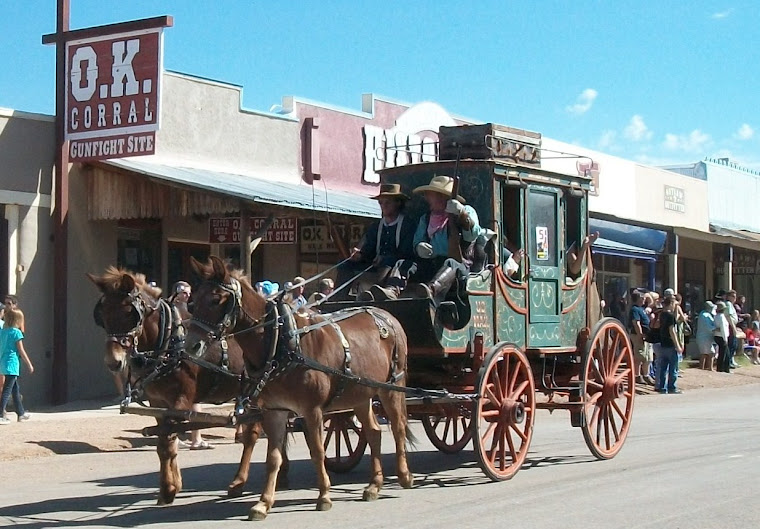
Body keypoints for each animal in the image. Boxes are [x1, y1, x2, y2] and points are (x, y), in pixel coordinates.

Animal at [88, 268, 280, 504]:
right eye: (103, 315)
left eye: (128, 313)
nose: (113, 362)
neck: (170, 343)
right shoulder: (159, 403)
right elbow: (165, 442)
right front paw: (171, 485)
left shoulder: (181, 401)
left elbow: (168, 441)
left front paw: (169, 489)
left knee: (252, 434)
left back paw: (238, 481)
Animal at [187, 256, 416, 520]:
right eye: (192, 302)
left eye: (216, 299)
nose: (191, 345)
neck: (280, 342)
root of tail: (383, 313)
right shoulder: (274, 411)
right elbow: (273, 457)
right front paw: (263, 503)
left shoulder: (312, 410)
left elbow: (317, 451)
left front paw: (324, 495)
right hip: (360, 394)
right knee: (374, 431)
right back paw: (374, 485)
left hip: (392, 387)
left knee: (398, 427)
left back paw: (404, 475)